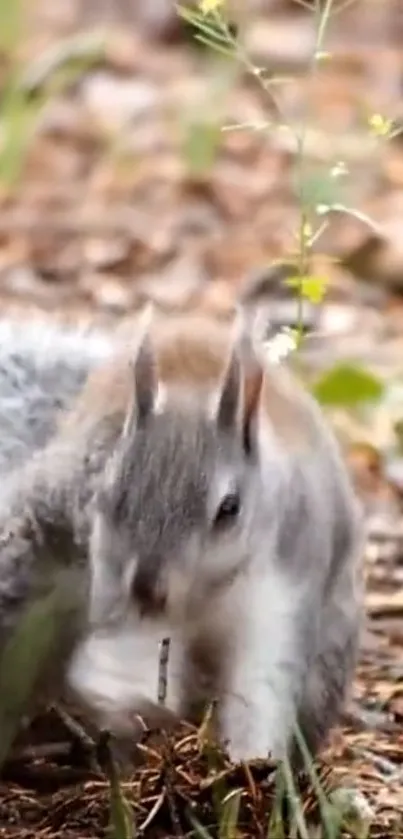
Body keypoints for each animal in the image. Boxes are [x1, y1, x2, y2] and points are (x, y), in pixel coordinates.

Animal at [0, 302, 366, 768]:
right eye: (109, 492)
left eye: (230, 508)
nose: (147, 588)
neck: (205, 593)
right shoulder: (111, 576)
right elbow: (128, 649)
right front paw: (123, 691)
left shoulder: (283, 588)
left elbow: (262, 685)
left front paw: (250, 764)